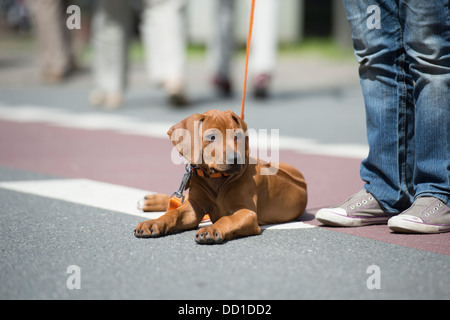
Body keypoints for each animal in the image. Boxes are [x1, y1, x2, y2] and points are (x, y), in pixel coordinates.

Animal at [134, 109, 308, 244]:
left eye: (237, 136)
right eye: (212, 137)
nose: (235, 159)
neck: (217, 179)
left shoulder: (248, 212)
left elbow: (227, 218)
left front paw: (212, 229)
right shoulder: (195, 206)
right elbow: (174, 213)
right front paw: (154, 223)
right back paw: (150, 201)